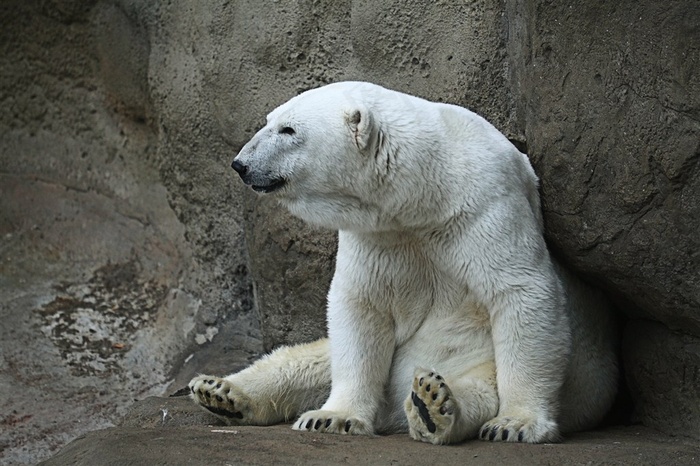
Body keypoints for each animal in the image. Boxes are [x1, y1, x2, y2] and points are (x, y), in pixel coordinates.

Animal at [187, 81, 616, 444]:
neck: (427, 195)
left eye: (289, 130)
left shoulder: (487, 205)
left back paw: (431, 404)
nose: (240, 164)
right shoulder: (379, 236)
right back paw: (220, 391)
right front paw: (333, 417)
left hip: (479, 361)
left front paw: (517, 423)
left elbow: (521, 291)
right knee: (306, 360)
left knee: (477, 389)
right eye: (269, 121)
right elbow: (360, 308)